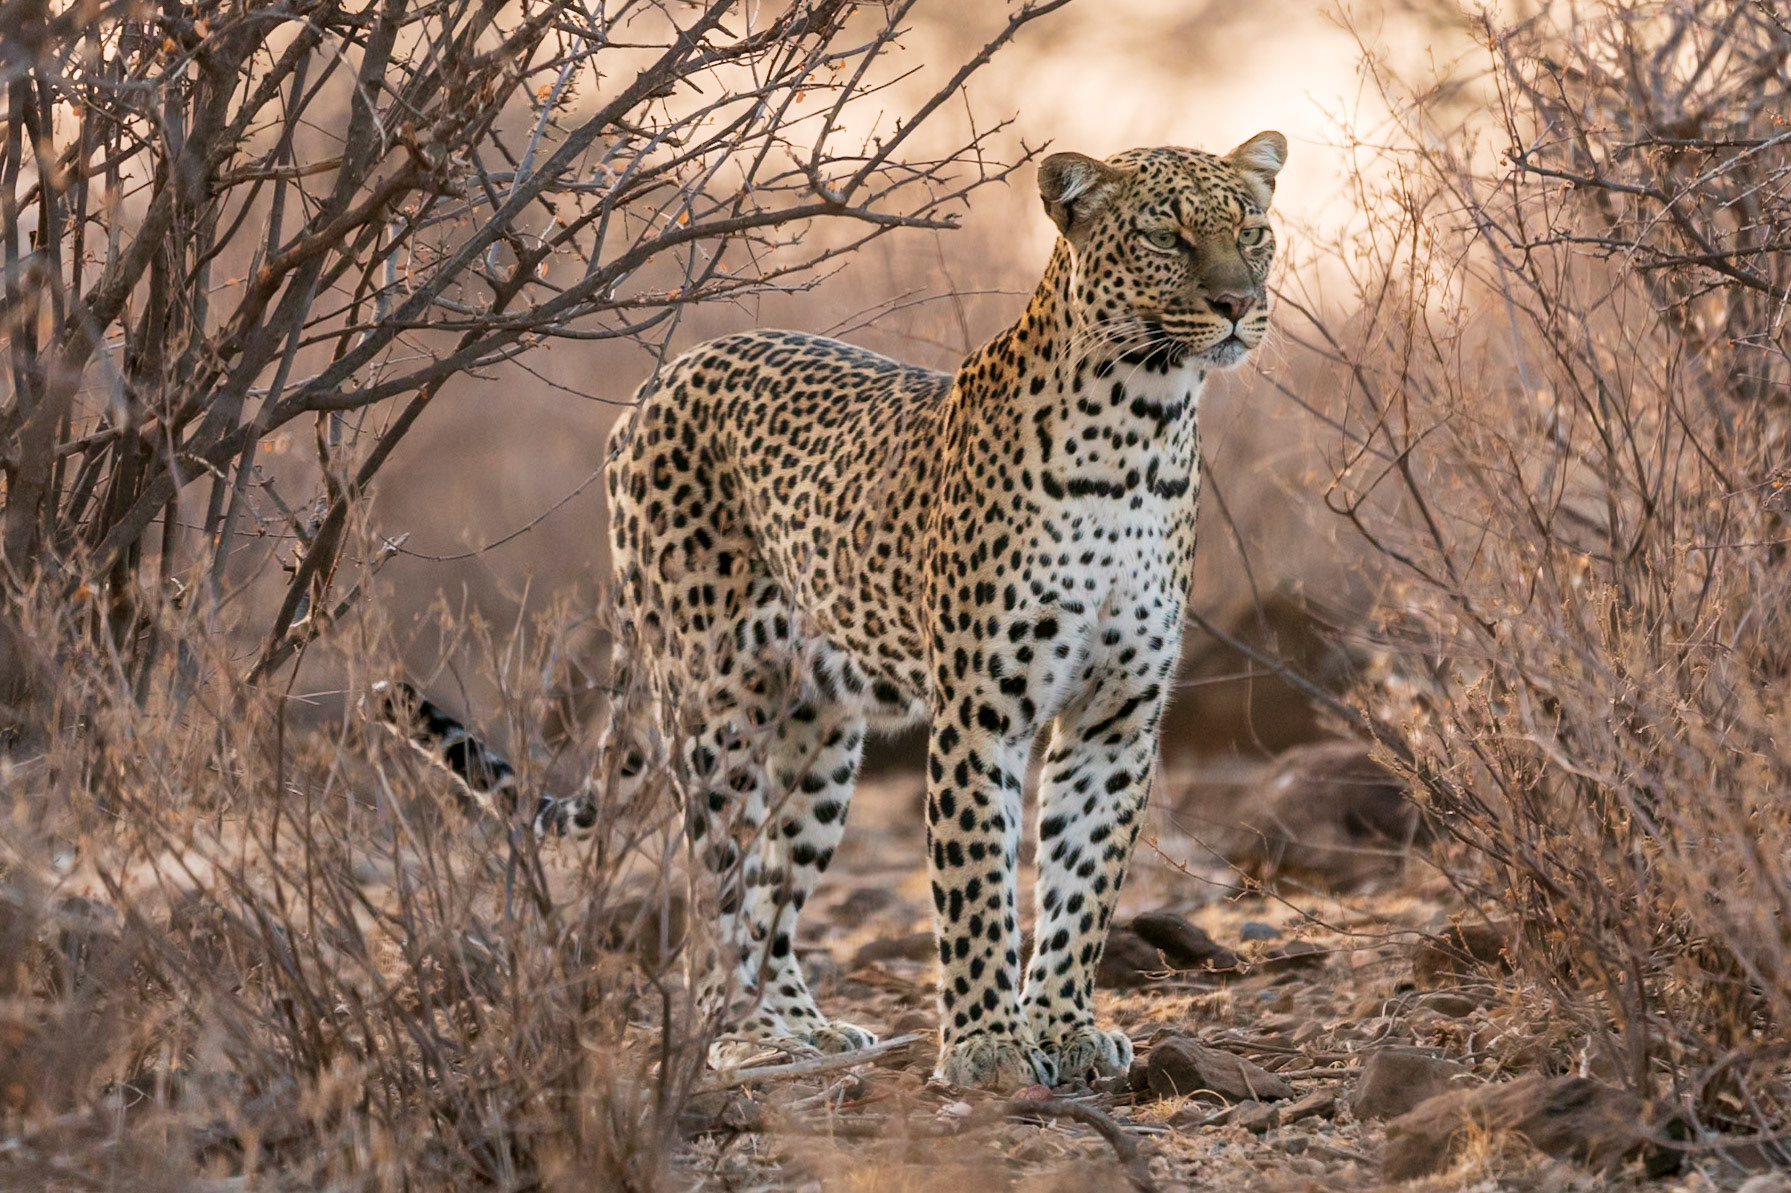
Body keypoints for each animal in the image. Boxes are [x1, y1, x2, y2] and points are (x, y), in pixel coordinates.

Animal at [386, 131, 1286, 1091]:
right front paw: (986, 1045)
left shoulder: (1115, 716)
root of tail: (657, 380)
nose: (1237, 303)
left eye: (1252, 231)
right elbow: (975, 885)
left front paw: (1064, 1027)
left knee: (774, 887)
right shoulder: (981, 713)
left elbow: (1083, 879)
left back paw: (803, 1025)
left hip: (817, 735)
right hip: (714, 705)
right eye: (1166, 237)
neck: (1140, 431)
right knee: (717, 884)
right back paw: (741, 1033)